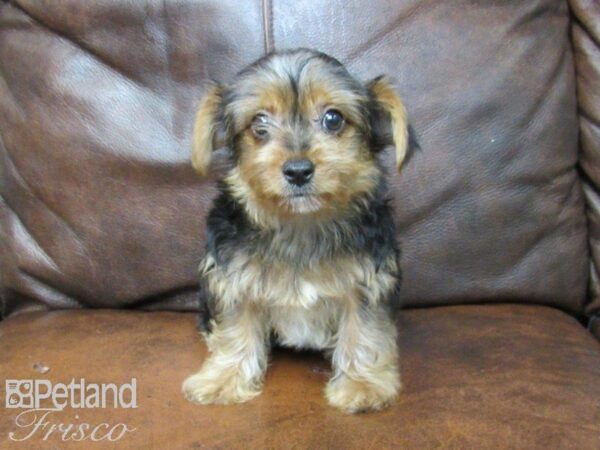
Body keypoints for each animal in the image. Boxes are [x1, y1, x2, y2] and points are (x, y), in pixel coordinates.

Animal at [180, 49, 410, 414]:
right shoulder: (234, 279)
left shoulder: (367, 281)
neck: (300, 224)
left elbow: (364, 329)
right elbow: (235, 329)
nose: (298, 171)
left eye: (333, 119)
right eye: (259, 123)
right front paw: (223, 380)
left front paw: (362, 386)